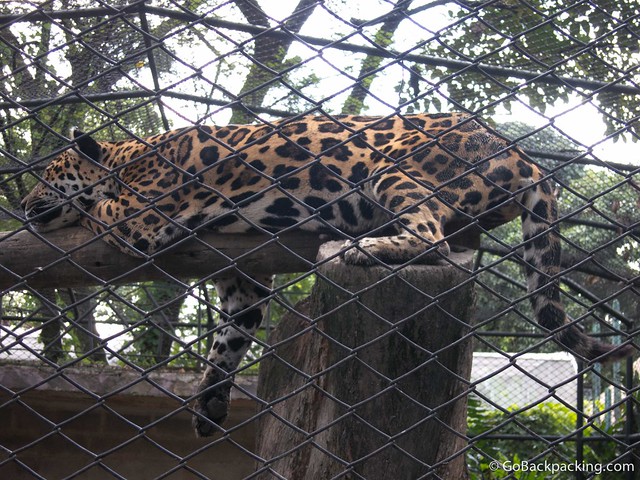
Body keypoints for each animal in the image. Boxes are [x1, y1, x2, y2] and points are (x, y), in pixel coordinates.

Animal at [21, 112, 633, 437]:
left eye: (49, 175)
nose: (23, 205)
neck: (127, 158)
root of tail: (521, 154)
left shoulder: (142, 217)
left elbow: (101, 211)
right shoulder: (244, 281)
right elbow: (230, 336)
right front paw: (211, 400)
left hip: (390, 170)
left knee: (431, 234)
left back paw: (367, 247)